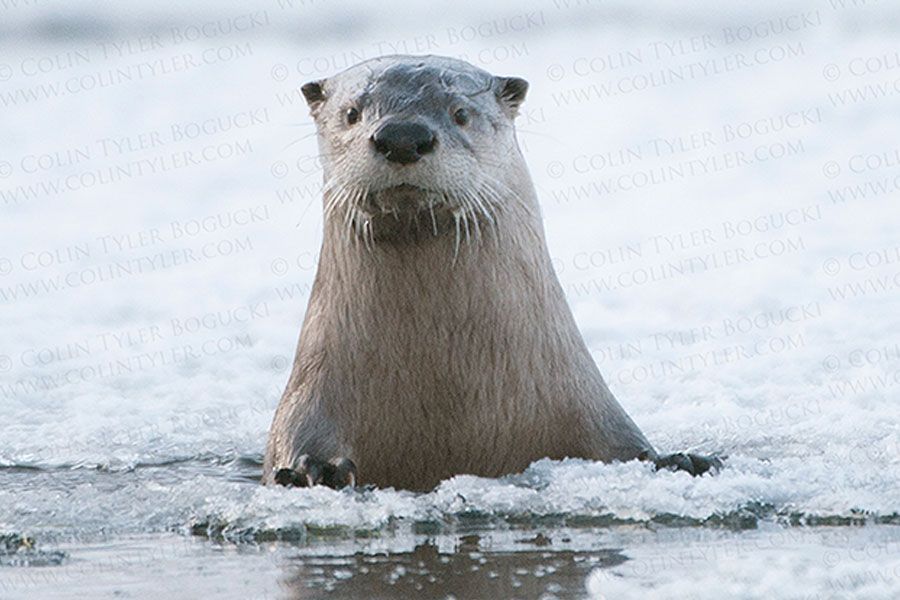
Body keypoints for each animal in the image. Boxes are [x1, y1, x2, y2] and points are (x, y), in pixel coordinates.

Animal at [263, 55, 720, 491]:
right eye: (352, 113)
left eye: (461, 112)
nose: (402, 136)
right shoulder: (311, 393)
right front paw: (312, 469)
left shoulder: (586, 404)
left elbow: (624, 446)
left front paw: (679, 461)